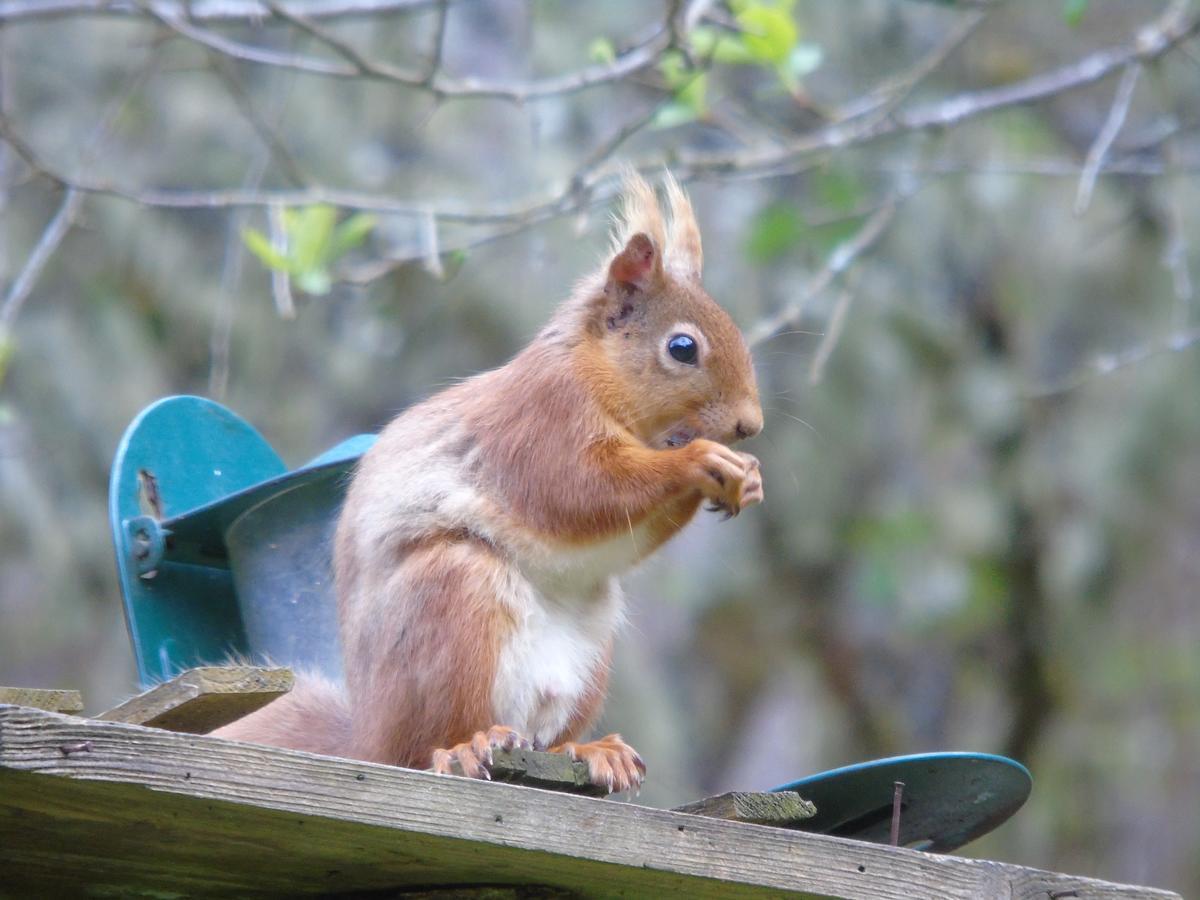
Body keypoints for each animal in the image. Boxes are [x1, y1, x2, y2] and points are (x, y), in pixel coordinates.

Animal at [212, 172, 763, 792]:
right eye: (682, 348)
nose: (751, 424)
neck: (599, 376)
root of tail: (367, 742)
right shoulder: (539, 425)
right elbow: (582, 493)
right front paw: (700, 460)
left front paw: (746, 479)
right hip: (453, 601)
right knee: (429, 742)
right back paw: (467, 746)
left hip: (590, 648)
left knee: (550, 738)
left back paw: (591, 749)